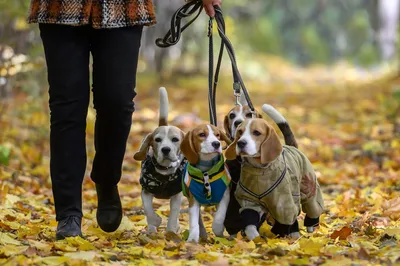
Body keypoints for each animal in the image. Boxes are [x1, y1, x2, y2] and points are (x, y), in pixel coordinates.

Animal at [134, 87, 185, 233]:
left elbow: (174, 213)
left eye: (175, 139)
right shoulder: (146, 191)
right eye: (157, 140)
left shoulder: (177, 195)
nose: (165, 149)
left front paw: (171, 231)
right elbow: (148, 210)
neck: (164, 171)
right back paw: (151, 231)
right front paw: (155, 221)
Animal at [225, 107, 324, 239]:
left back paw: (308, 227)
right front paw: (255, 239)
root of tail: (292, 147)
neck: (259, 171)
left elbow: (285, 221)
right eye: (240, 132)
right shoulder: (249, 201)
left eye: (256, 133)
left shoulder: (283, 205)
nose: (240, 143)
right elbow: (250, 223)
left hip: (309, 188)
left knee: (312, 206)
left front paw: (280, 234)